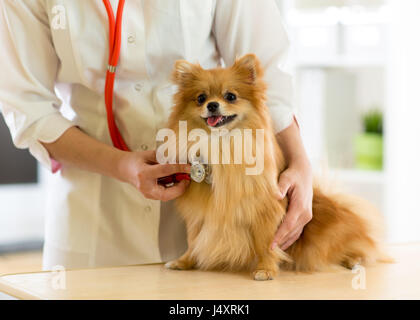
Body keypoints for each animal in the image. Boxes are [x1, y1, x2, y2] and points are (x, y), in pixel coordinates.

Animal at [164, 54, 390, 280]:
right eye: (201, 98)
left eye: (230, 96)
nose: (211, 105)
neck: (221, 145)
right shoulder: (199, 214)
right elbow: (194, 240)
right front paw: (184, 261)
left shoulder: (266, 211)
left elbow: (266, 244)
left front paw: (265, 269)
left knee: (360, 250)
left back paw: (354, 260)